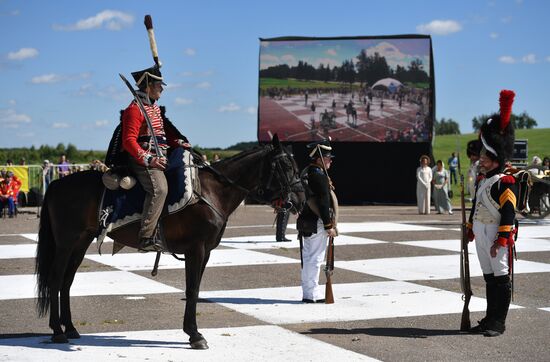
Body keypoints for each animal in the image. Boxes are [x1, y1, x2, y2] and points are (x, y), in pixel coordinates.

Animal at [35, 136, 306, 348]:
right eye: (285, 165)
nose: (300, 200)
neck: (211, 192)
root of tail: (57, 183)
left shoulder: (205, 252)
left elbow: (195, 289)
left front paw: (191, 331)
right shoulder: (196, 250)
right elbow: (192, 289)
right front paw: (195, 335)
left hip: (80, 243)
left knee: (67, 282)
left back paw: (71, 328)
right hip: (66, 243)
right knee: (56, 279)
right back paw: (58, 332)